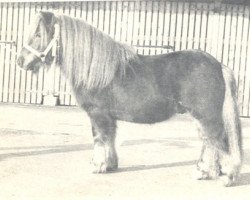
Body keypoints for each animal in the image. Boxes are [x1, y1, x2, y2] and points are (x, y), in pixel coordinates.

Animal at [16, 10, 242, 186]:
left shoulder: (98, 114)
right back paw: (203, 173)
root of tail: (217, 65)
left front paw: (98, 166)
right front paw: (110, 165)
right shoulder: (107, 117)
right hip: (200, 116)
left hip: (206, 115)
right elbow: (110, 138)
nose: (20, 61)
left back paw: (227, 177)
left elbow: (99, 138)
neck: (96, 70)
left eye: (38, 34)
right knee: (209, 141)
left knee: (218, 140)